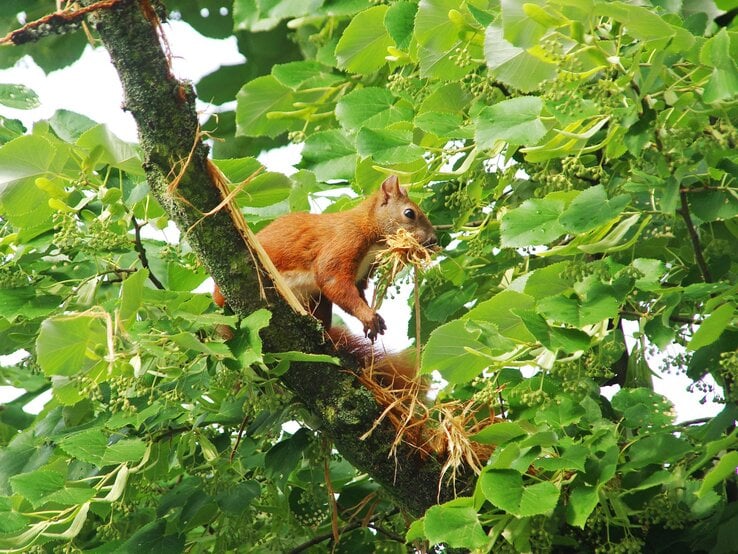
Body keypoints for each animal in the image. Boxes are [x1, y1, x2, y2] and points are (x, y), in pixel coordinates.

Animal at [210, 175, 434, 338]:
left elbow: (356, 291)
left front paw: (373, 317)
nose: (433, 240)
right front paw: (367, 315)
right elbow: (332, 279)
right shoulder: (344, 240)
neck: (368, 229)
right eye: (409, 213)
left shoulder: (362, 274)